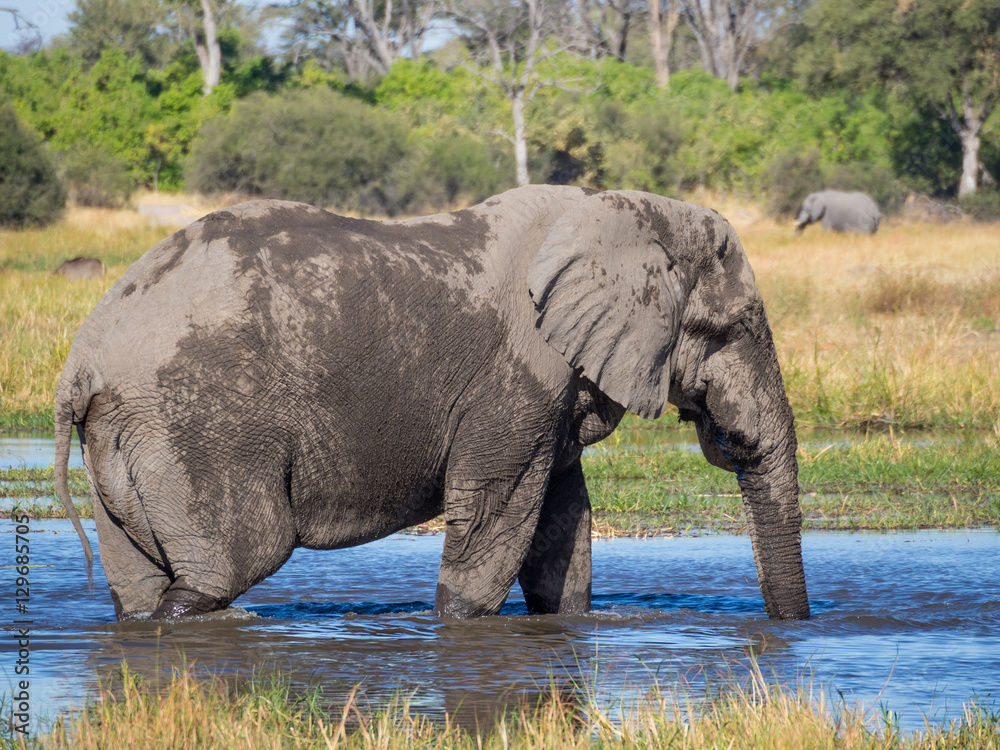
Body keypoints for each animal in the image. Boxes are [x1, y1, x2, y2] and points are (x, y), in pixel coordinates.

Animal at [54, 185, 810, 622]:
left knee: (140, 586)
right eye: (733, 328)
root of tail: (82, 365)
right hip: (198, 427)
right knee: (234, 561)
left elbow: (562, 530)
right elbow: (495, 520)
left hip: (126, 436)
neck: (629, 214)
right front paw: (451, 629)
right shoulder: (518, 372)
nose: (795, 629)